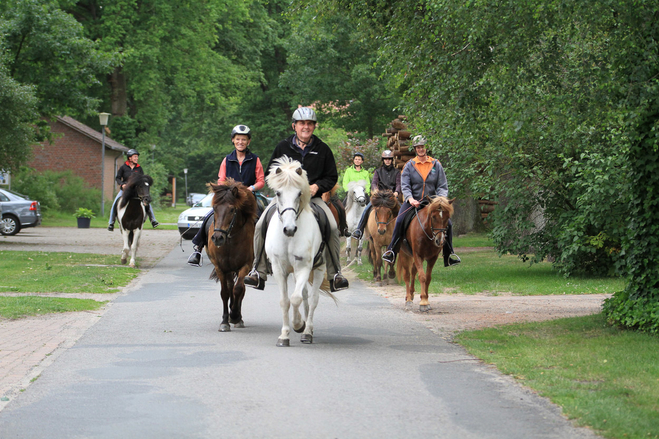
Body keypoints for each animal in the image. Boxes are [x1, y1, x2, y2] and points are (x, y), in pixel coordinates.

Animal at [206, 180, 258, 332]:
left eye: (231, 210)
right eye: (214, 208)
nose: (218, 238)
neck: (230, 240)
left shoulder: (245, 266)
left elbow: (238, 289)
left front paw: (235, 315)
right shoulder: (221, 267)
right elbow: (225, 293)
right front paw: (225, 321)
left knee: (239, 289)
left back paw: (237, 317)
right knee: (229, 287)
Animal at [264, 157, 338, 348]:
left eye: (299, 194)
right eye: (278, 193)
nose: (289, 229)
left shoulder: (304, 267)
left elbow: (295, 299)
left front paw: (298, 325)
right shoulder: (279, 269)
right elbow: (285, 301)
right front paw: (284, 336)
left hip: (318, 268)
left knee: (312, 299)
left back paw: (307, 331)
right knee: (304, 295)